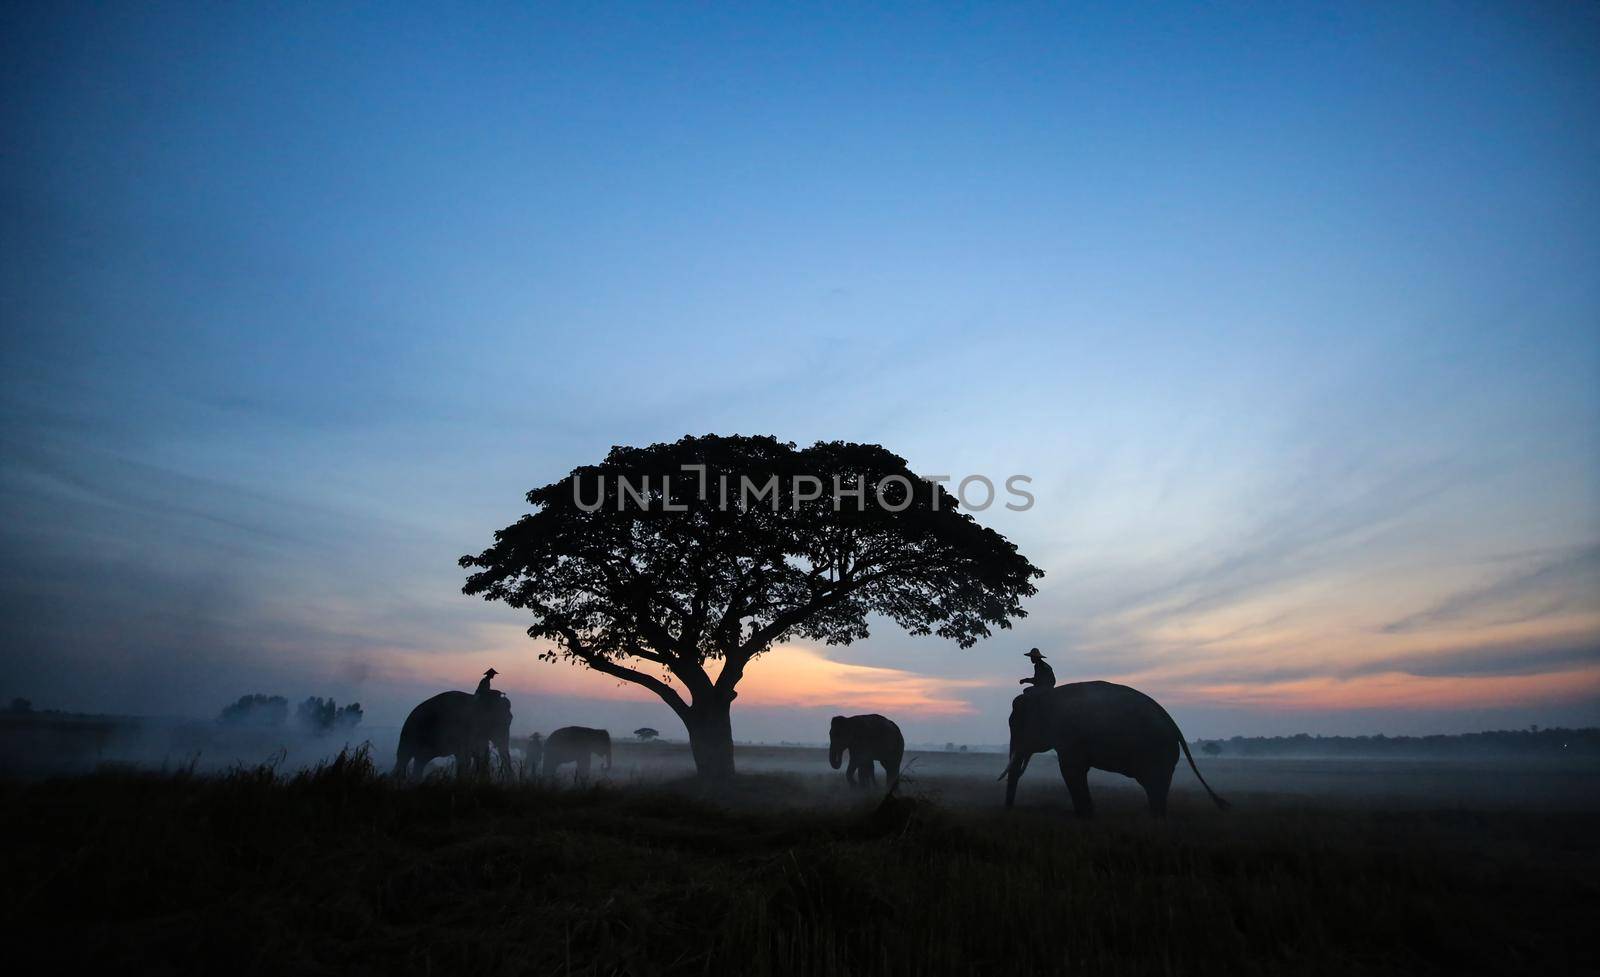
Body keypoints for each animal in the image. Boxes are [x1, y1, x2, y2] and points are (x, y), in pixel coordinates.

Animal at [992, 684, 1228, 818]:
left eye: (1015, 725)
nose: (1008, 810)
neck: (1046, 696)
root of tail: (1174, 724)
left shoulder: (1069, 736)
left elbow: (1071, 770)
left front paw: (1085, 815)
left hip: (1158, 751)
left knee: (1155, 784)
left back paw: (1155, 817)